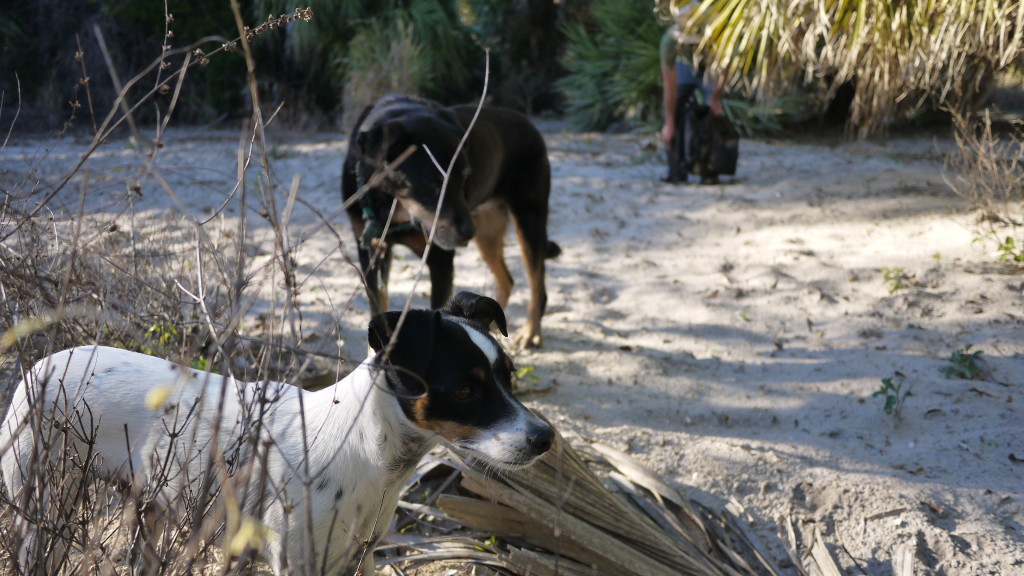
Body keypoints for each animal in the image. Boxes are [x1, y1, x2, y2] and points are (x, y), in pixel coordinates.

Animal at [348, 93, 565, 344]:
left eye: (464, 178)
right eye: (434, 185)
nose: (468, 233)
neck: (393, 208)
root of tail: (527, 122)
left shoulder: (440, 261)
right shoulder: (371, 257)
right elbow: (377, 313)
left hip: (529, 221)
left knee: (537, 283)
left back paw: (530, 332)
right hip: (488, 234)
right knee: (507, 281)